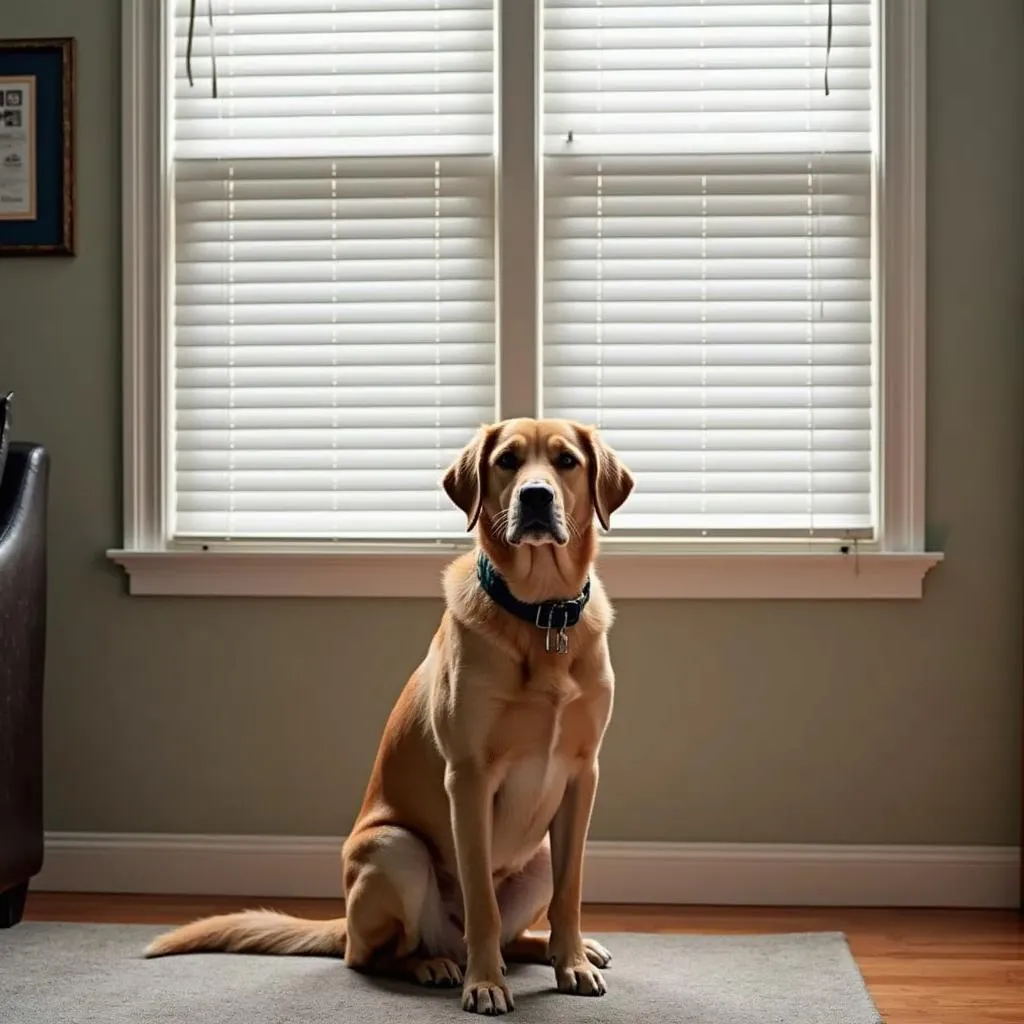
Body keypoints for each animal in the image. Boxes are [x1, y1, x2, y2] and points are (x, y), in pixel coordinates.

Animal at [146, 417, 630, 1015]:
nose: (535, 496)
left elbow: (571, 892)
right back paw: (437, 965)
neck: (540, 615)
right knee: (377, 955)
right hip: (395, 850)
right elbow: (482, 904)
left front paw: (572, 963)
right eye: (508, 462)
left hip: (535, 856)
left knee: (511, 933)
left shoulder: (582, 775)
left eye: (566, 462)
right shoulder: (468, 778)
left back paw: (558, 950)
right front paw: (485, 984)